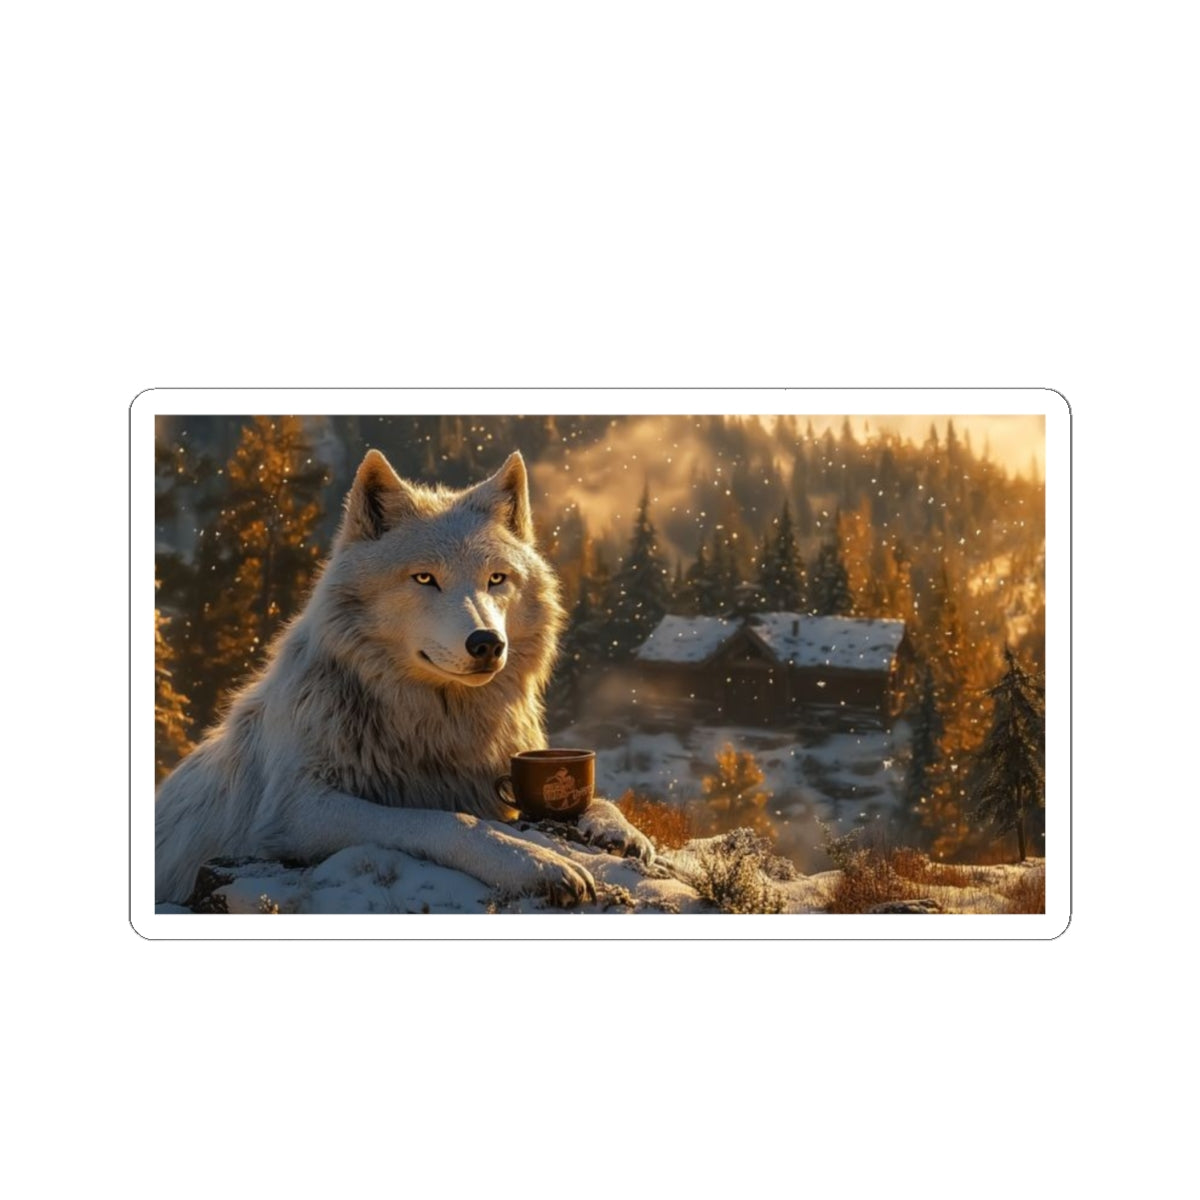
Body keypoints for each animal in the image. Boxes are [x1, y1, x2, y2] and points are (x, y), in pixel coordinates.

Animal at [155, 448, 653, 907]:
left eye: (496, 579)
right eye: (425, 578)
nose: (487, 643)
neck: (434, 725)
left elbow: (600, 799)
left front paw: (619, 830)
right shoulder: (295, 811)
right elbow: (447, 821)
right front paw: (536, 862)